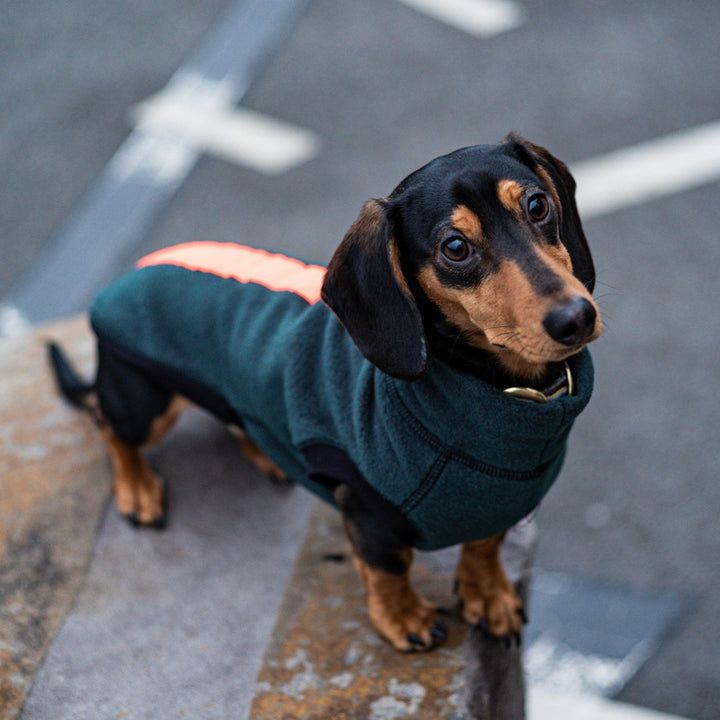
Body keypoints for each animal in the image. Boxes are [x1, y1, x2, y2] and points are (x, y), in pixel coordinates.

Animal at [47, 135, 600, 652]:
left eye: (537, 205)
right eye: (455, 248)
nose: (575, 318)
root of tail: (135, 269)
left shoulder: (500, 503)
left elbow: (486, 544)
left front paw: (488, 594)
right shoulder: (367, 510)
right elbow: (387, 570)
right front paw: (405, 619)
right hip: (145, 401)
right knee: (110, 425)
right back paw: (137, 487)